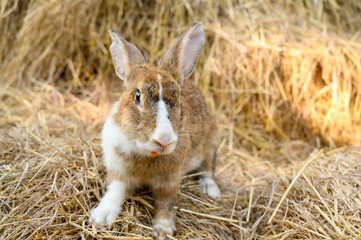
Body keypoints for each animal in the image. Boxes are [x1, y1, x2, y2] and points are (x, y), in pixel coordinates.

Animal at [90, 22, 219, 238]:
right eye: (137, 96)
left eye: (179, 99)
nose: (164, 140)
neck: (147, 153)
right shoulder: (117, 169)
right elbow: (115, 190)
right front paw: (101, 217)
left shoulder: (170, 182)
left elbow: (166, 203)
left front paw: (163, 231)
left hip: (210, 144)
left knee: (208, 169)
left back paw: (211, 190)